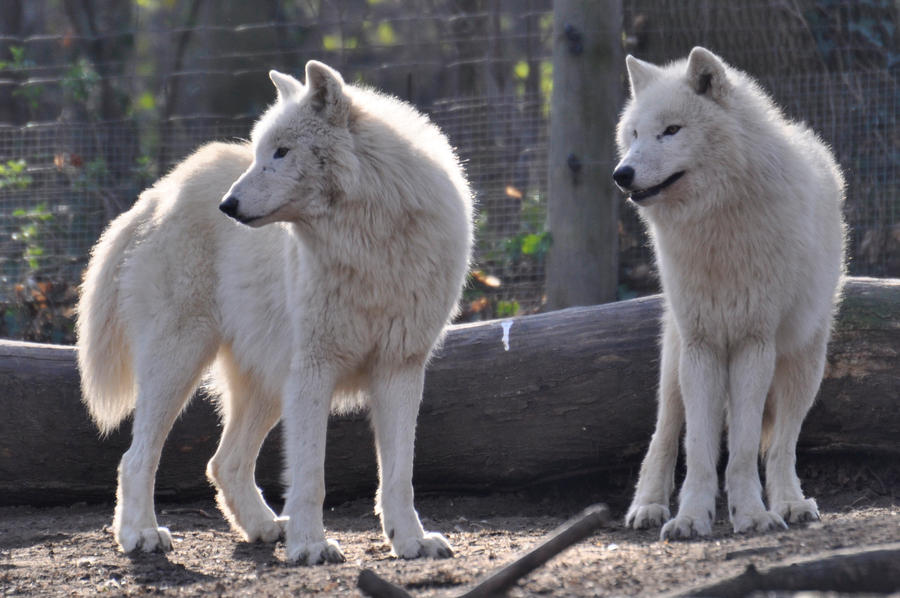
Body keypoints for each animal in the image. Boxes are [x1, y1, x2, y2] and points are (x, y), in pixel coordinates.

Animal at [76, 59, 472, 564]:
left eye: (282, 152)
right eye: (259, 152)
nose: (227, 205)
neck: (370, 247)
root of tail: (157, 194)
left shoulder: (400, 368)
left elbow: (400, 475)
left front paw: (411, 542)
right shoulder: (313, 369)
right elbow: (310, 477)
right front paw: (311, 546)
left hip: (264, 383)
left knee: (223, 462)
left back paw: (264, 527)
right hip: (179, 362)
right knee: (136, 457)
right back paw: (140, 534)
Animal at [608, 48, 848, 544]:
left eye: (672, 130)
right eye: (635, 134)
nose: (622, 174)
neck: (716, 229)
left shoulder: (753, 343)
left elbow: (742, 447)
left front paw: (753, 515)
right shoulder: (702, 346)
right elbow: (698, 446)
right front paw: (690, 517)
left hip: (803, 363)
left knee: (781, 443)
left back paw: (791, 502)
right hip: (675, 359)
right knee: (664, 431)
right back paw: (648, 506)